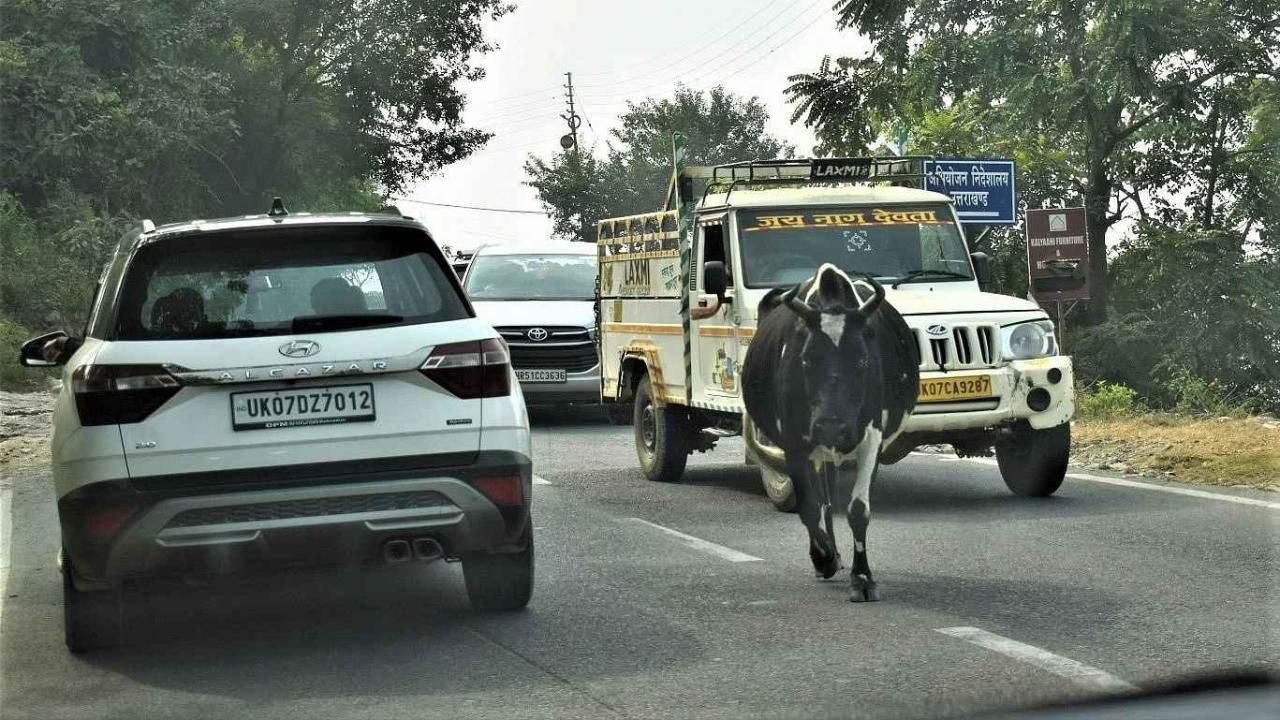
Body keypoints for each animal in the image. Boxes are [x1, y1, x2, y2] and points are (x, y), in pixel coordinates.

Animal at [742, 263, 921, 599]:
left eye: (863, 360)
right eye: (807, 359)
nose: (831, 426)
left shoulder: (872, 437)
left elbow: (858, 509)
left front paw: (862, 577)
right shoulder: (794, 444)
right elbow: (809, 508)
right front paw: (823, 558)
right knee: (823, 500)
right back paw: (829, 554)